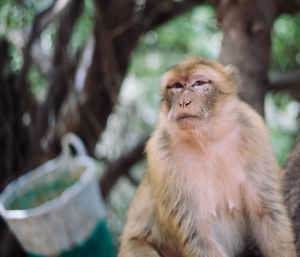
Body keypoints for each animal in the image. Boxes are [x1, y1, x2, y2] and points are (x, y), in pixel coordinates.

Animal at [118, 56, 296, 256]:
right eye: (177, 86)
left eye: (199, 83)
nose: (184, 101)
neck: (207, 139)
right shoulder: (160, 155)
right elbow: (197, 234)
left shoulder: (253, 131)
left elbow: (266, 212)